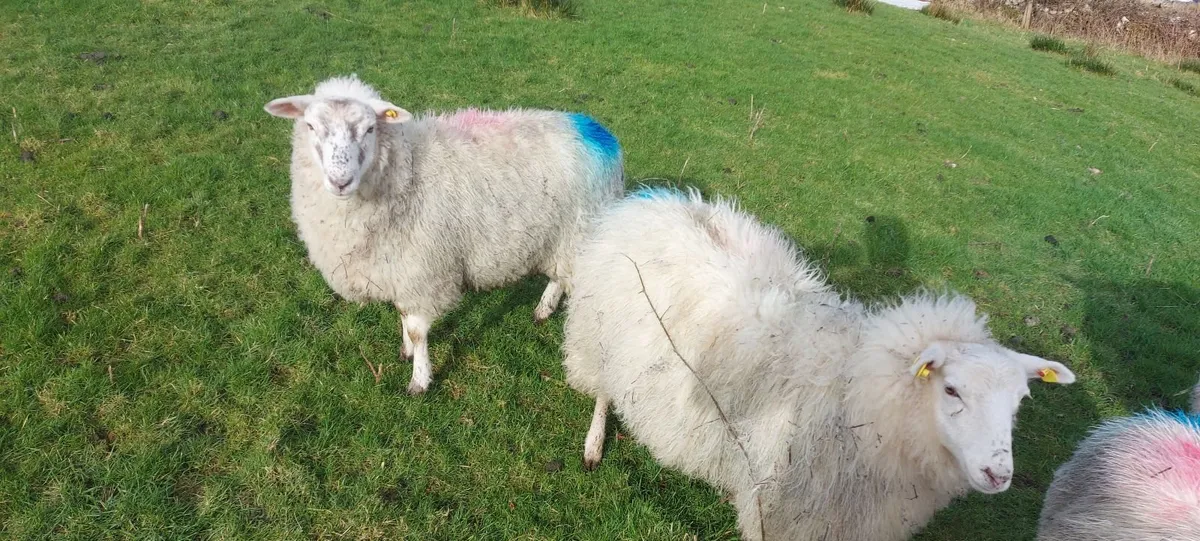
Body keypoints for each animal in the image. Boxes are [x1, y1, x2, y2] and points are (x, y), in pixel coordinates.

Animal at [265, 74, 623, 394]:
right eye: (311, 126)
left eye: (369, 128)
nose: (340, 181)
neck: (407, 170)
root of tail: (599, 133)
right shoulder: (402, 268)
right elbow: (403, 315)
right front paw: (406, 351)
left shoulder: (423, 268)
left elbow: (417, 330)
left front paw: (419, 380)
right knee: (559, 276)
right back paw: (543, 310)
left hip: (579, 228)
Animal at [561, 188, 1076, 541]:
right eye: (951, 390)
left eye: (1019, 402)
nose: (999, 474)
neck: (856, 397)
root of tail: (655, 200)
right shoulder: (783, 512)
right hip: (596, 334)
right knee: (602, 390)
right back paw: (593, 444)